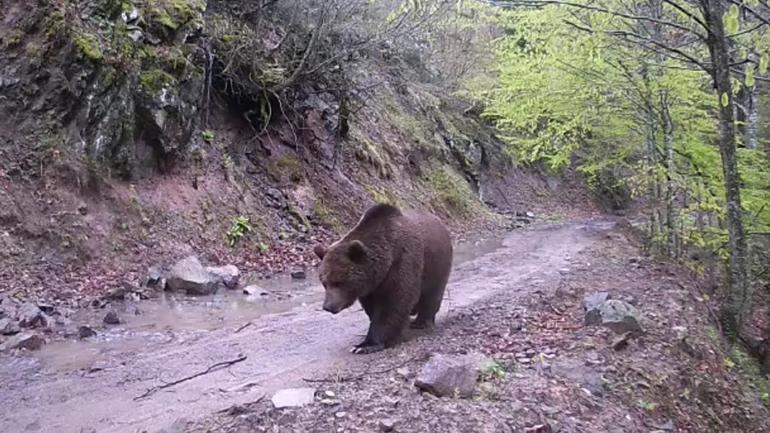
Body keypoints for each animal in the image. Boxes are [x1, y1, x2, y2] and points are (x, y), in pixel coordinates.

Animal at [310, 202, 450, 354]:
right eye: (324, 283)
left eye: (339, 282)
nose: (328, 306)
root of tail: (438, 220)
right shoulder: (371, 287)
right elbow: (373, 307)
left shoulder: (402, 263)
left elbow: (393, 303)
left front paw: (365, 345)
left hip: (436, 266)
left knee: (431, 295)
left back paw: (421, 322)